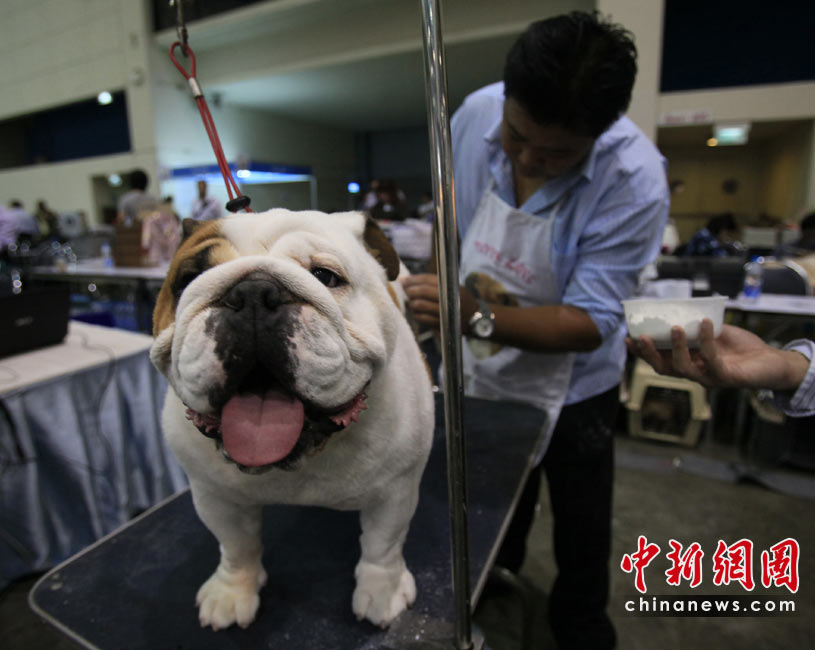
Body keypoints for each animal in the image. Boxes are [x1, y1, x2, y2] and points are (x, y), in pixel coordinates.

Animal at [150, 209, 434, 631]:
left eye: (325, 276)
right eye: (187, 279)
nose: (252, 293)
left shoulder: (395, 492)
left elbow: (382, 545)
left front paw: (381, 592)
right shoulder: (215, 497)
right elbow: (236, 545)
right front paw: (233, 591)